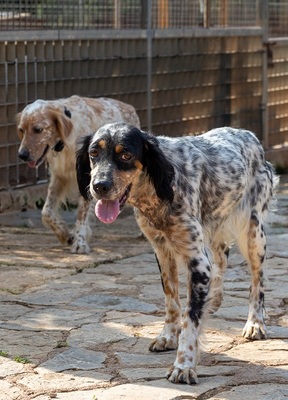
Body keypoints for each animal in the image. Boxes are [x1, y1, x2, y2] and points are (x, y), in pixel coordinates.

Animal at [16, 96, 141, 253]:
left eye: (38, 129)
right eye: (21, 130)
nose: (22, 155)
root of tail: (130, 107)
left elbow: (82, 213)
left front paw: (80, 242)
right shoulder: (59, 177)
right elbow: (46, 212)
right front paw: (65, 234)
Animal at [75, 122, 278, 384]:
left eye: (126, 155)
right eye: (93, 153)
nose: (99, 186)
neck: (158, 190)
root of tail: (249, 134)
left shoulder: (197, 262)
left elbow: (190, 319)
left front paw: (184, 365)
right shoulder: (162, 251)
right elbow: (172, 301)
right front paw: (168, 337)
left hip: (253, 234)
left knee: (257, 281)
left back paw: (255, 323)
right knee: (222, 256)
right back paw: (215, 298)